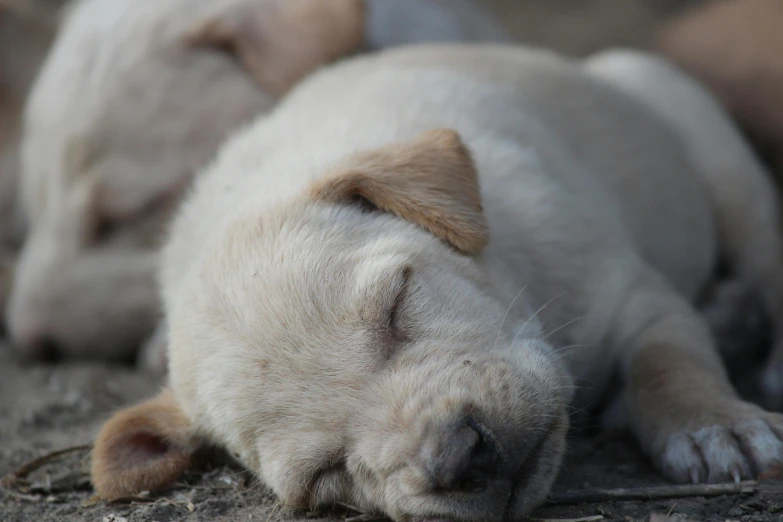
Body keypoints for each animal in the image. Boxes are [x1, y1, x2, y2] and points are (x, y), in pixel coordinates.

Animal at [90, 45, 783, 520]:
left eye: (397, 303)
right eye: (324, 475)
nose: (456, 458)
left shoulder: (630, 296)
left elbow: (671, 362)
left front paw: (715, 424)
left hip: (715, 154)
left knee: (763, 253)